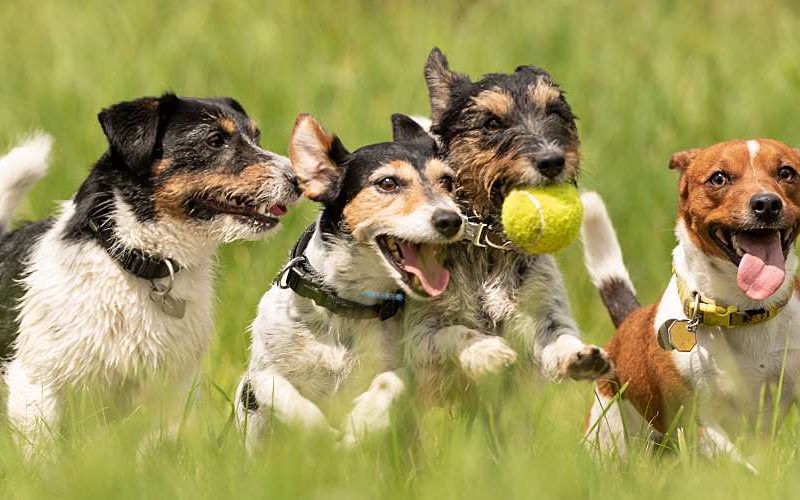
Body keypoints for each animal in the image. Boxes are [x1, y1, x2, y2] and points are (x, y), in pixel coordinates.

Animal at [0, 94, 298, 454]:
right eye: (214, 140)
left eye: (256, 136)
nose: (298, 180)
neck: (140, 266)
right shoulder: (36, 383)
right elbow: (41, 455)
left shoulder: (171, 391)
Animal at [234, 114, 462, 450]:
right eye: (387, 183)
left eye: (447, 182)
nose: (451, 220)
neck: (347, 304)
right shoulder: (260, 375)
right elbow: (282, 393)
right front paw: (321, 434)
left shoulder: (409, 367)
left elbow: (391, 381)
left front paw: (361, 423)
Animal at [580, 140, 800, 468]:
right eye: (719, 178)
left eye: (787, 172)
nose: (767, 204)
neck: (744, 309)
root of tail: (630, 319)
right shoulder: (695, 420)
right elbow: (739, 464)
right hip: (609, 431)